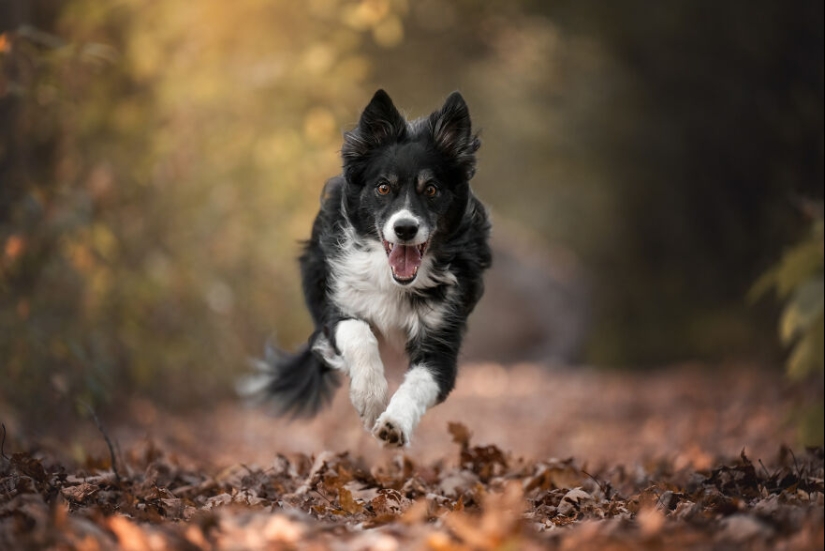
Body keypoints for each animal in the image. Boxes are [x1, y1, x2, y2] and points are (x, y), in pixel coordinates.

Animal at [245, 88, 490, 446]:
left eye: (431, 189)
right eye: (383, 187)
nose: (405, 228)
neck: (393, 278)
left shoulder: (443, 339)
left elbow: (420, 382)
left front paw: (394, 423)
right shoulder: (337, 308)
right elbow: (358, 334)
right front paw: (371, 398)